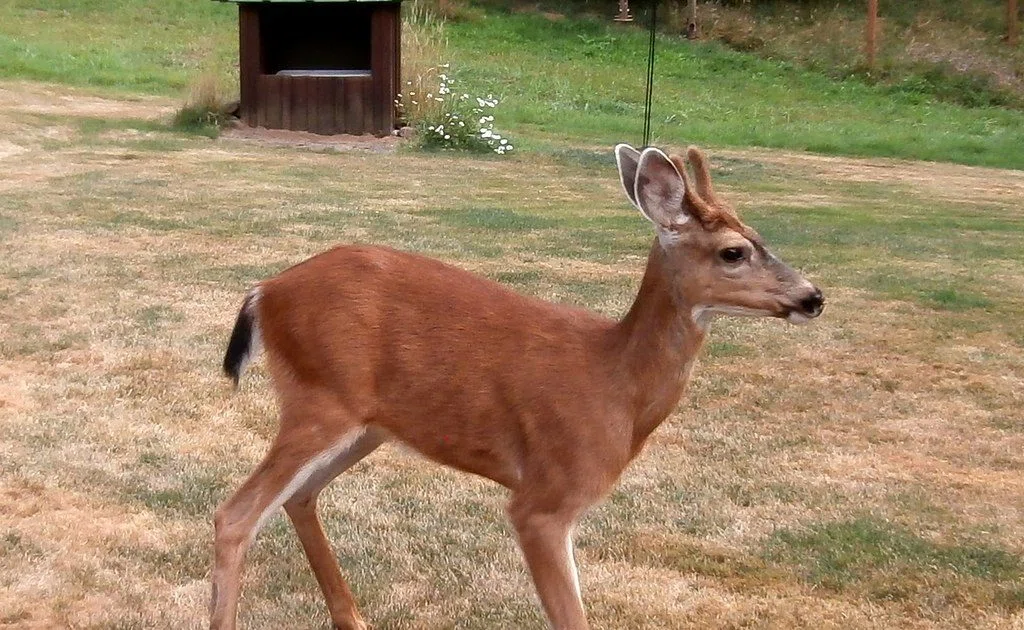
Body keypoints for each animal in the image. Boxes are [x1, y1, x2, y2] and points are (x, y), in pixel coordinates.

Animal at [210, 144, 824, 630]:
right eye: (733, 252)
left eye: (760, 237)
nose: (813, 297)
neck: (617, 385)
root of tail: (265, 290)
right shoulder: (545, 498)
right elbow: (571, 617)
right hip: (320, 401)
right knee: (235, 515)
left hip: (368, 425)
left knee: (299, 497)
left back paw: (354, 618)